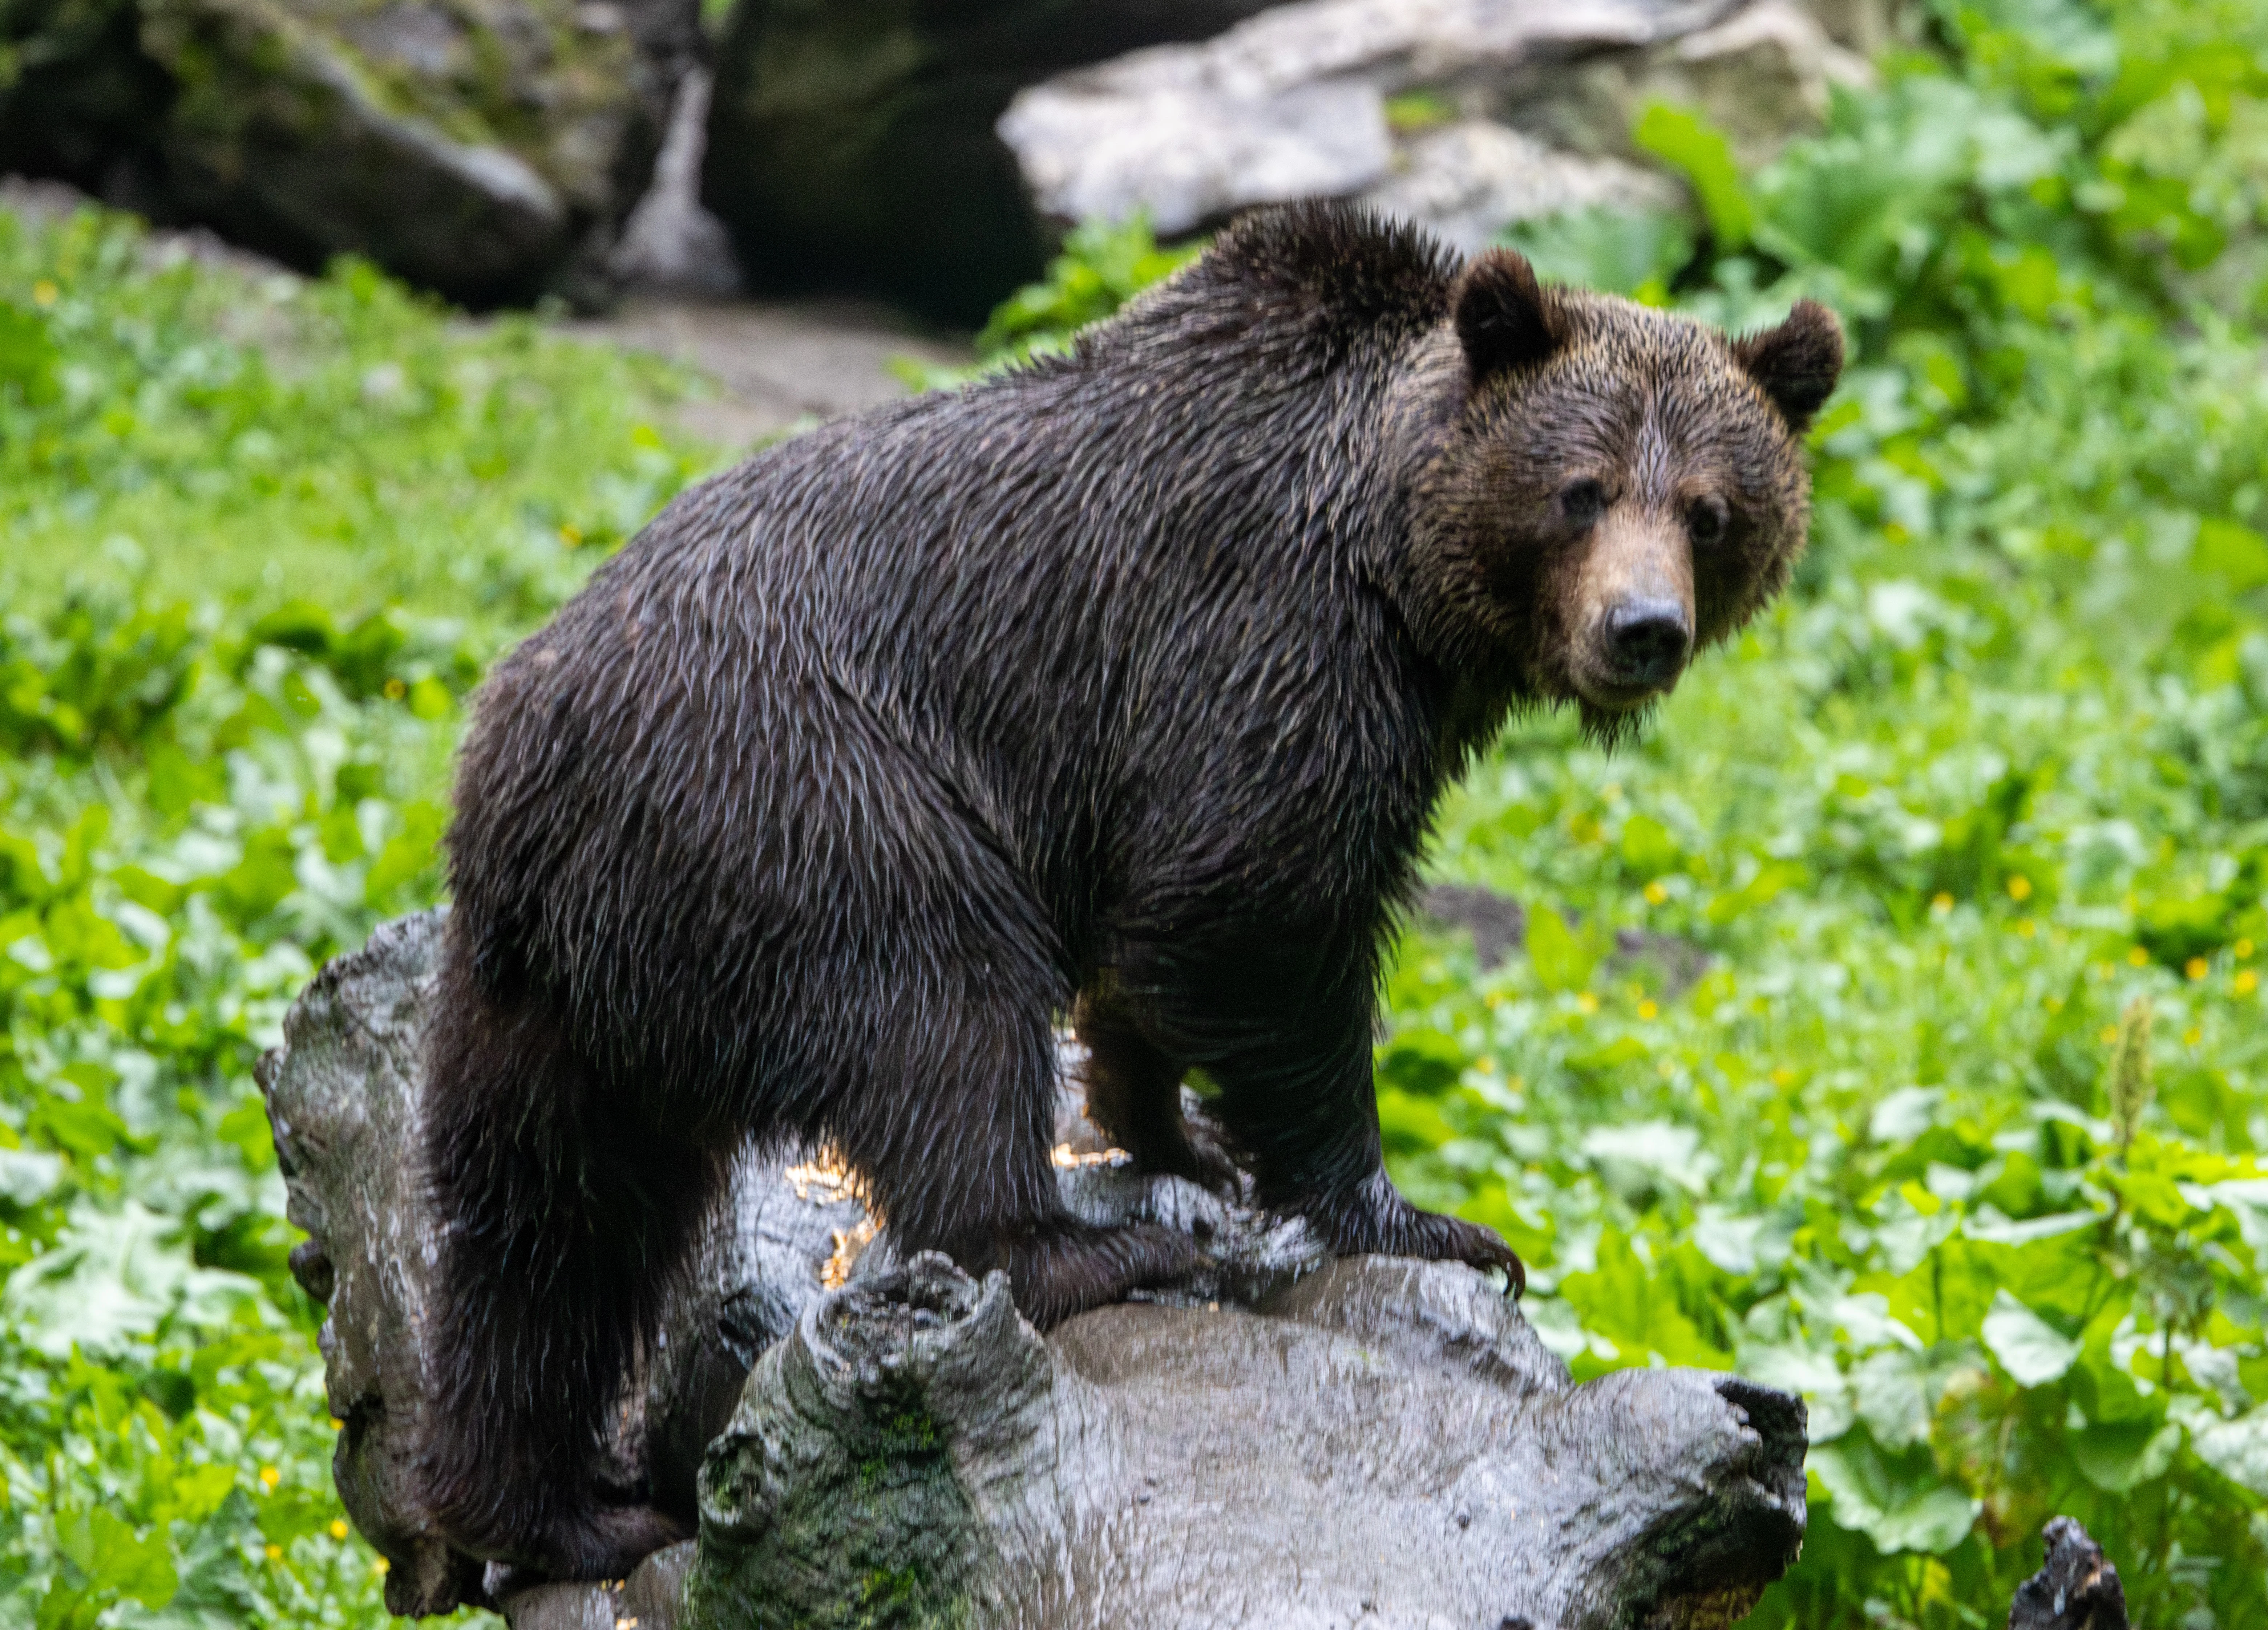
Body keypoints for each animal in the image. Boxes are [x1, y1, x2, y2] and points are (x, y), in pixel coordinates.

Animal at [417, 198, 1843, 1581]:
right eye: (1578, 490)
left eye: (1709, 508)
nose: (1640, 629)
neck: (1402, 568)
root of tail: (532, 769)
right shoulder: (1268, 642)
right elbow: (1259, 911)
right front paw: (1418, 1215)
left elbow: (1173, 945)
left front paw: (1170, 1131)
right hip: (807, 798)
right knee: (939, 1008)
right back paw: (1072, 1249)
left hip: (544, 981)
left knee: (545, 1223)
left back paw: (547, 1506)